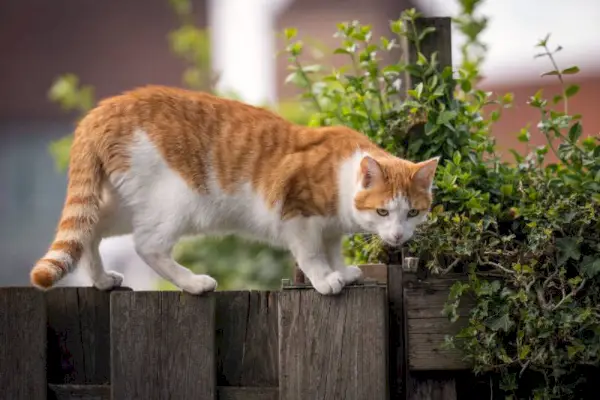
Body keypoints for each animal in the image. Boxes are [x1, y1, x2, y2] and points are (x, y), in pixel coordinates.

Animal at [29, 86, 440, 296]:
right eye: (383, 211)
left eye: (413, 213)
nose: (398, 236)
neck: (341, 173)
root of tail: (101, 111)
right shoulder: (299, 218)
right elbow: (311, 255)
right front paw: (325, 279)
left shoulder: (330, 228)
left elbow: (332, 249)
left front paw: (342, 271)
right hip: (174, 203)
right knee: (147, 246)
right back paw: (194, 283)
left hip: (124, 206)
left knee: (89, 229)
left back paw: (100, 279)